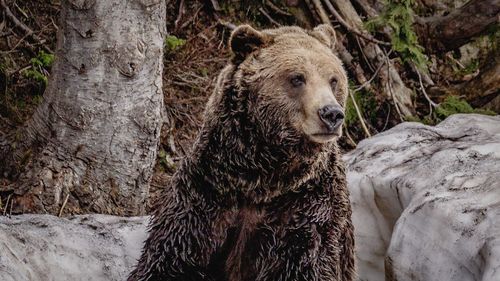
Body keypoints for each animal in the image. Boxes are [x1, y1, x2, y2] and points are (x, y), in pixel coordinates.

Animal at [129, 24, 356, 280]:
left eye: (334, 79)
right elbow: (171, 256)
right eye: (297, 78)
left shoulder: (309, 206)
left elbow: (307, 261)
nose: (331, 114)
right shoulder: (206, 191)